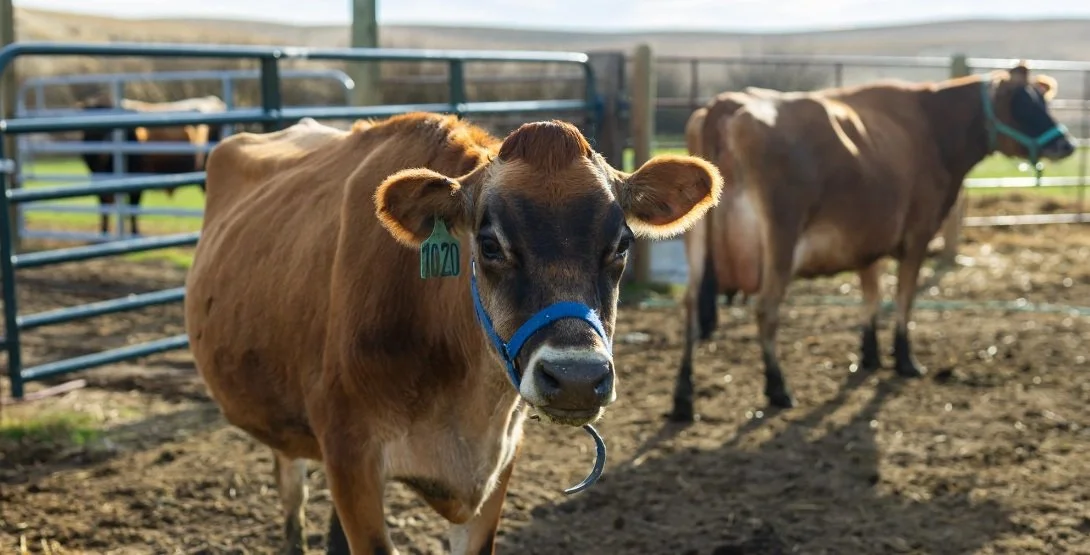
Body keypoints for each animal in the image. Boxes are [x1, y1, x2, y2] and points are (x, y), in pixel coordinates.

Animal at [74, 95, 226, 235]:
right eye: (90, 130)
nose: (103, 152)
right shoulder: (98, 178)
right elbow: (105, 208)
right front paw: (104, 231)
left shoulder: (136, 179)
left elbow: (133, 208)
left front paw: (135, 233)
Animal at [183, 112, 723, 554]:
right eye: (490, 244)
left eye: (622, 244)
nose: (576, 378)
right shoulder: (350, 456)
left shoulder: (499, 461)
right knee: (291, 494)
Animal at [670, 61, 1075, 422]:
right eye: (1021, 103)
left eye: (1041, 99)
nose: (1067, 144)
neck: (932, 128)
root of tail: (727, 102)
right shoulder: (917, 235)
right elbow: (904, 299)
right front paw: (905, 359)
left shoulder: (867, 240)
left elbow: (871, 295)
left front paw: (869, 356)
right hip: (780, 240)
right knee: (766, 310)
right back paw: (778, 387)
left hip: (698, 246)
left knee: (689, 309)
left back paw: (683, 400)